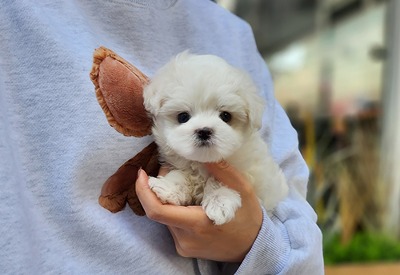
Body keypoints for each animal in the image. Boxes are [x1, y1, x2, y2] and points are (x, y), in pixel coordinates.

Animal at [144, 51, 288, 226]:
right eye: (183, 117)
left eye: (226, 116)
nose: (204, 131)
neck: (203, 162)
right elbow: (181, 174)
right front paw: (168, 187)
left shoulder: (249, 171)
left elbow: (221, 180)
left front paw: (219, 203)